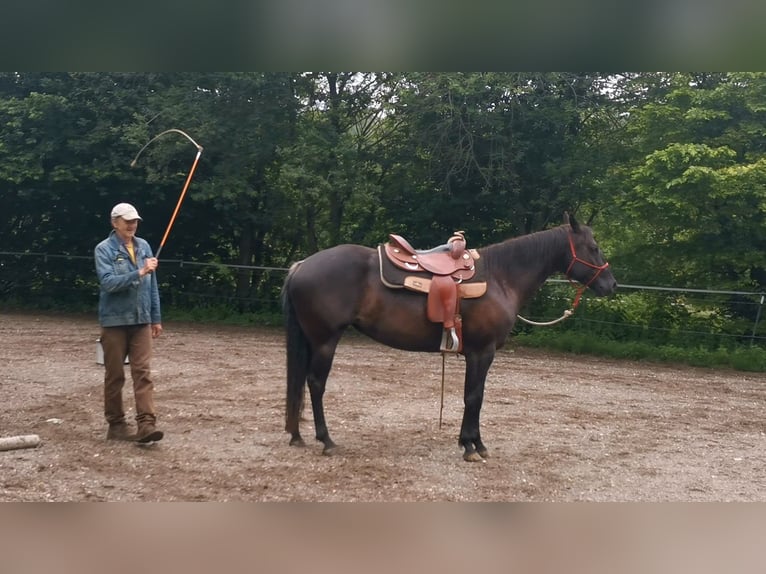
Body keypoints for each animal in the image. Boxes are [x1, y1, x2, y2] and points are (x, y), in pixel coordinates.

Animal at [282, 215, 616, 464]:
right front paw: (471, 447)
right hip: (325, 341)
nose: (611, 284)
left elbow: (475, 395)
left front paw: (474, 443)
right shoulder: (482, 352)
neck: (500, 276)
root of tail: (302, 265)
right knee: (315, 384)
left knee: (300, 382)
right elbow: (474, 396)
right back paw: (326, 440)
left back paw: (297, 435)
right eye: (593, 246)